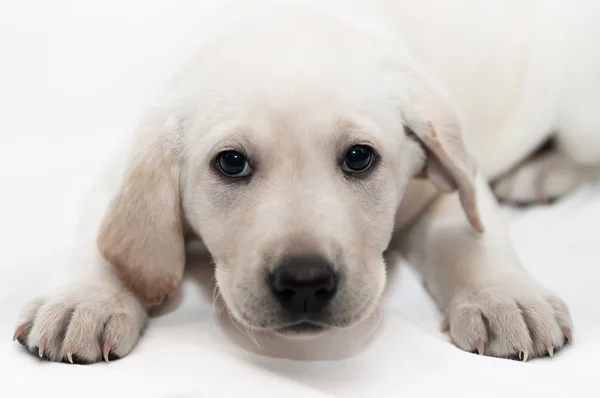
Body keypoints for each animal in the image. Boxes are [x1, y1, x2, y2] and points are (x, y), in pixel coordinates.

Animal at [12, 0, 596, 364]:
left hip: (578, 117)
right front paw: (84, 302)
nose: (305, 282)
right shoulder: (122, 164)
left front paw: (508, 299)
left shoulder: (445, 180)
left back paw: (538, 171)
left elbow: (473, 235)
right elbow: (105, 242)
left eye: (359, 158)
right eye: (231, 164)